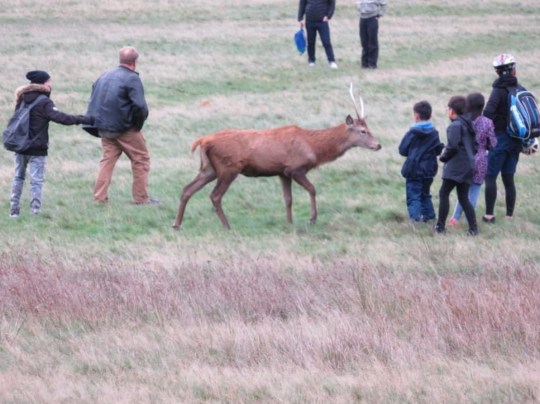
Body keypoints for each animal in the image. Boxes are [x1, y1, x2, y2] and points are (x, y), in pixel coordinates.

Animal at [172, 84, 380, 230]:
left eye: (368, 128)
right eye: (362, 131)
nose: (378, 145)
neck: (314, 148)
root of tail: (202, 141)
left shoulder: (282, 172)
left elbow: (288, 199)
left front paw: (289, 222)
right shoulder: (296, 168)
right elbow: (312, 189)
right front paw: (312, 218)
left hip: (209, 168)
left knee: (187, 189)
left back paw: (176, 224)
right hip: (228, 167)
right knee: (215, 195)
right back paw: (226, 225)